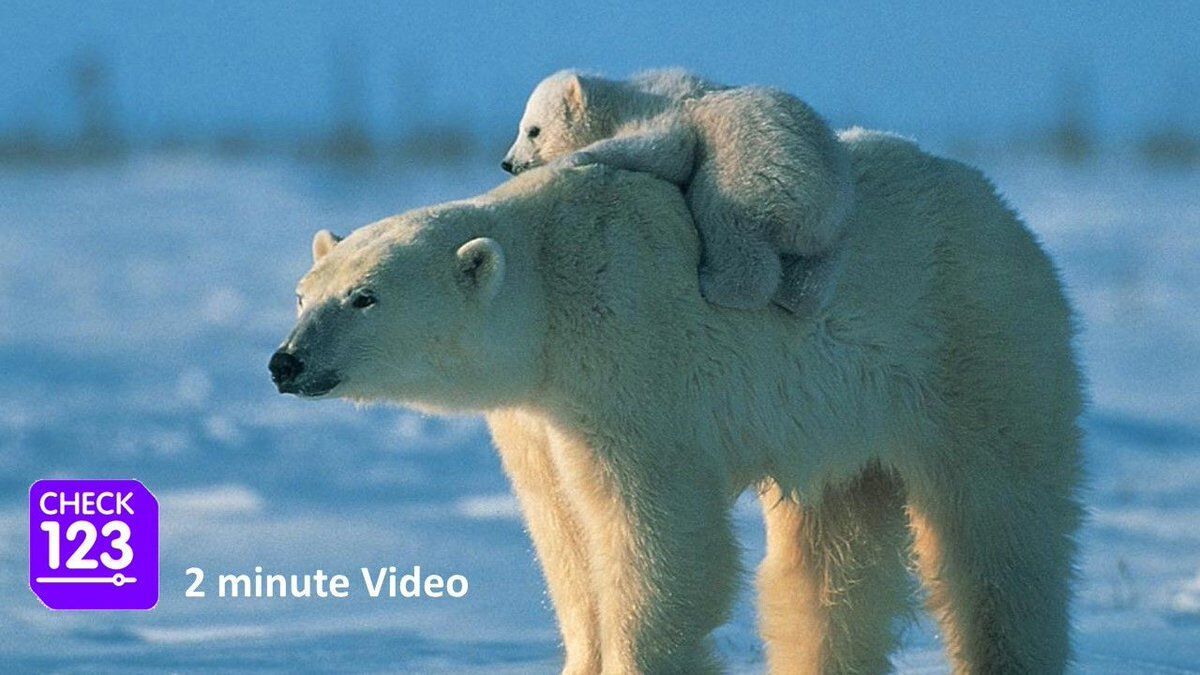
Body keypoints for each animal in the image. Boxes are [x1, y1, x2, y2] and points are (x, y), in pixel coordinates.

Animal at [271, 131, 1083, 674]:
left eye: (365, 297)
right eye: (304, 294)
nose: (287, 361)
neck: (552, 287)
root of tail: (1004, 210)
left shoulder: (631, 363)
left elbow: (656, 532)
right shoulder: (539, 418)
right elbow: (564, 536)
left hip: (974, 344)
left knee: (999, 527)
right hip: (841, 419)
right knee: (831, 558)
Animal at [501, 69, 854, 316]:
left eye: (533, 130)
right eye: (522, 127)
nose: (508, 163)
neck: (623, 98)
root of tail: (816, 214)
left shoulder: (661, 110)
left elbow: (668, 148)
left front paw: (576, 156)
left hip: (754, 172)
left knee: (724, 218)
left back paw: (713, 283)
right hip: (832, 225)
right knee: (816, 272)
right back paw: (795, 295)